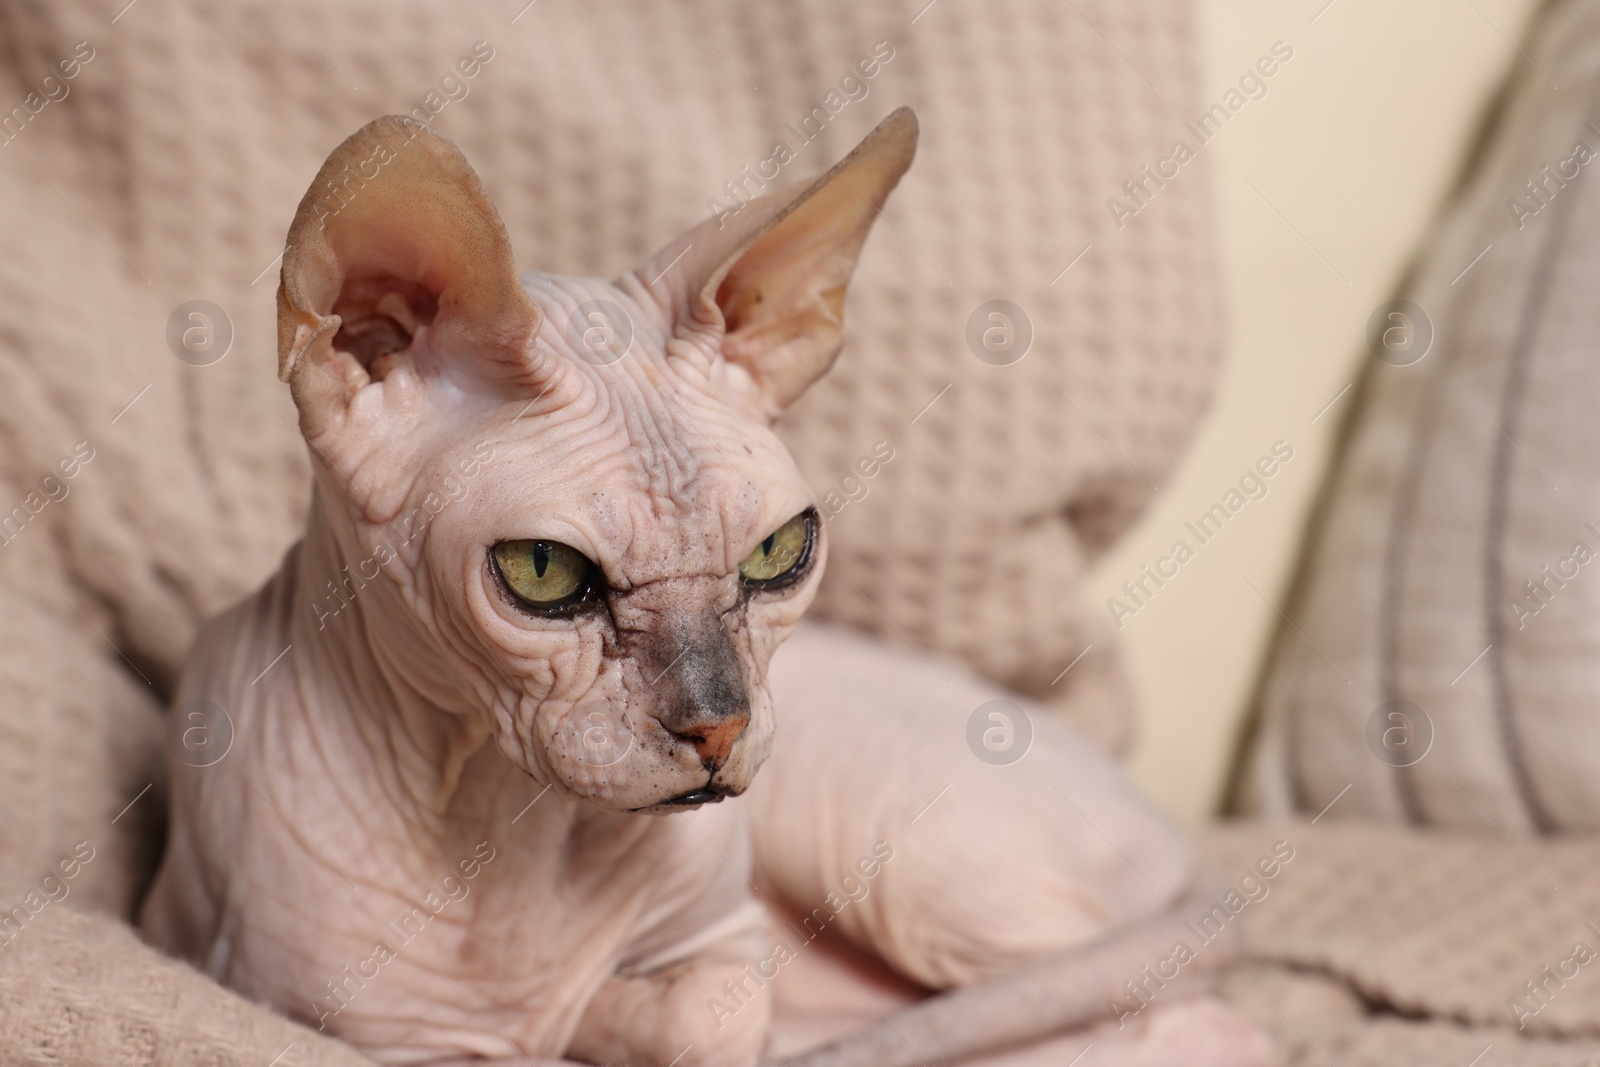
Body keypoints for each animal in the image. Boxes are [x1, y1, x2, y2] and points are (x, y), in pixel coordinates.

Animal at [137, 110, 1267, 1067]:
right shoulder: (304, 1008)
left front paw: (582, 1007)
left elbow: (700, 1012)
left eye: (777, 551)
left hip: (901, 856)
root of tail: (1163, 822)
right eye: (543, 573)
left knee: (1172, 1012)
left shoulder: (724, 937)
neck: (504, 820)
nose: (720, 728)